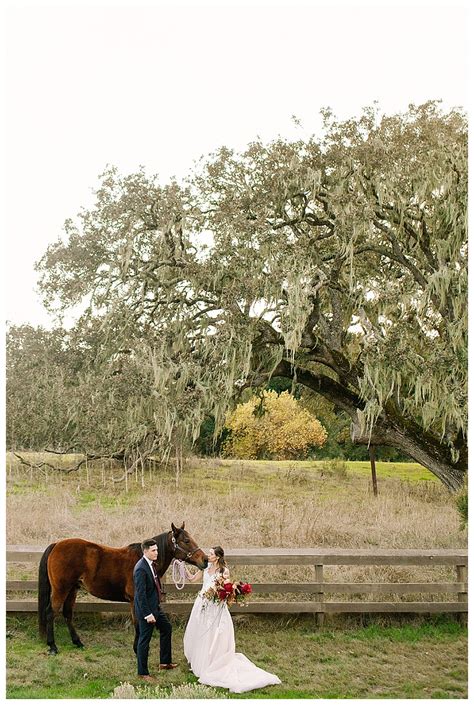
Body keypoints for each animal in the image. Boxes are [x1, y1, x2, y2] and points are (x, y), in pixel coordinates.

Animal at [37, 524, 207, 656]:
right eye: (186, 540)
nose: (204, 560)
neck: (143, 559)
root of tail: (56, 544)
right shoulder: (135, 601)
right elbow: (138, 624)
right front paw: (138, 650)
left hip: (72, 589)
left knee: (67, 614)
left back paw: (77, 642)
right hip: (61, 589)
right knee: (51, 612)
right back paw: (53, 646)